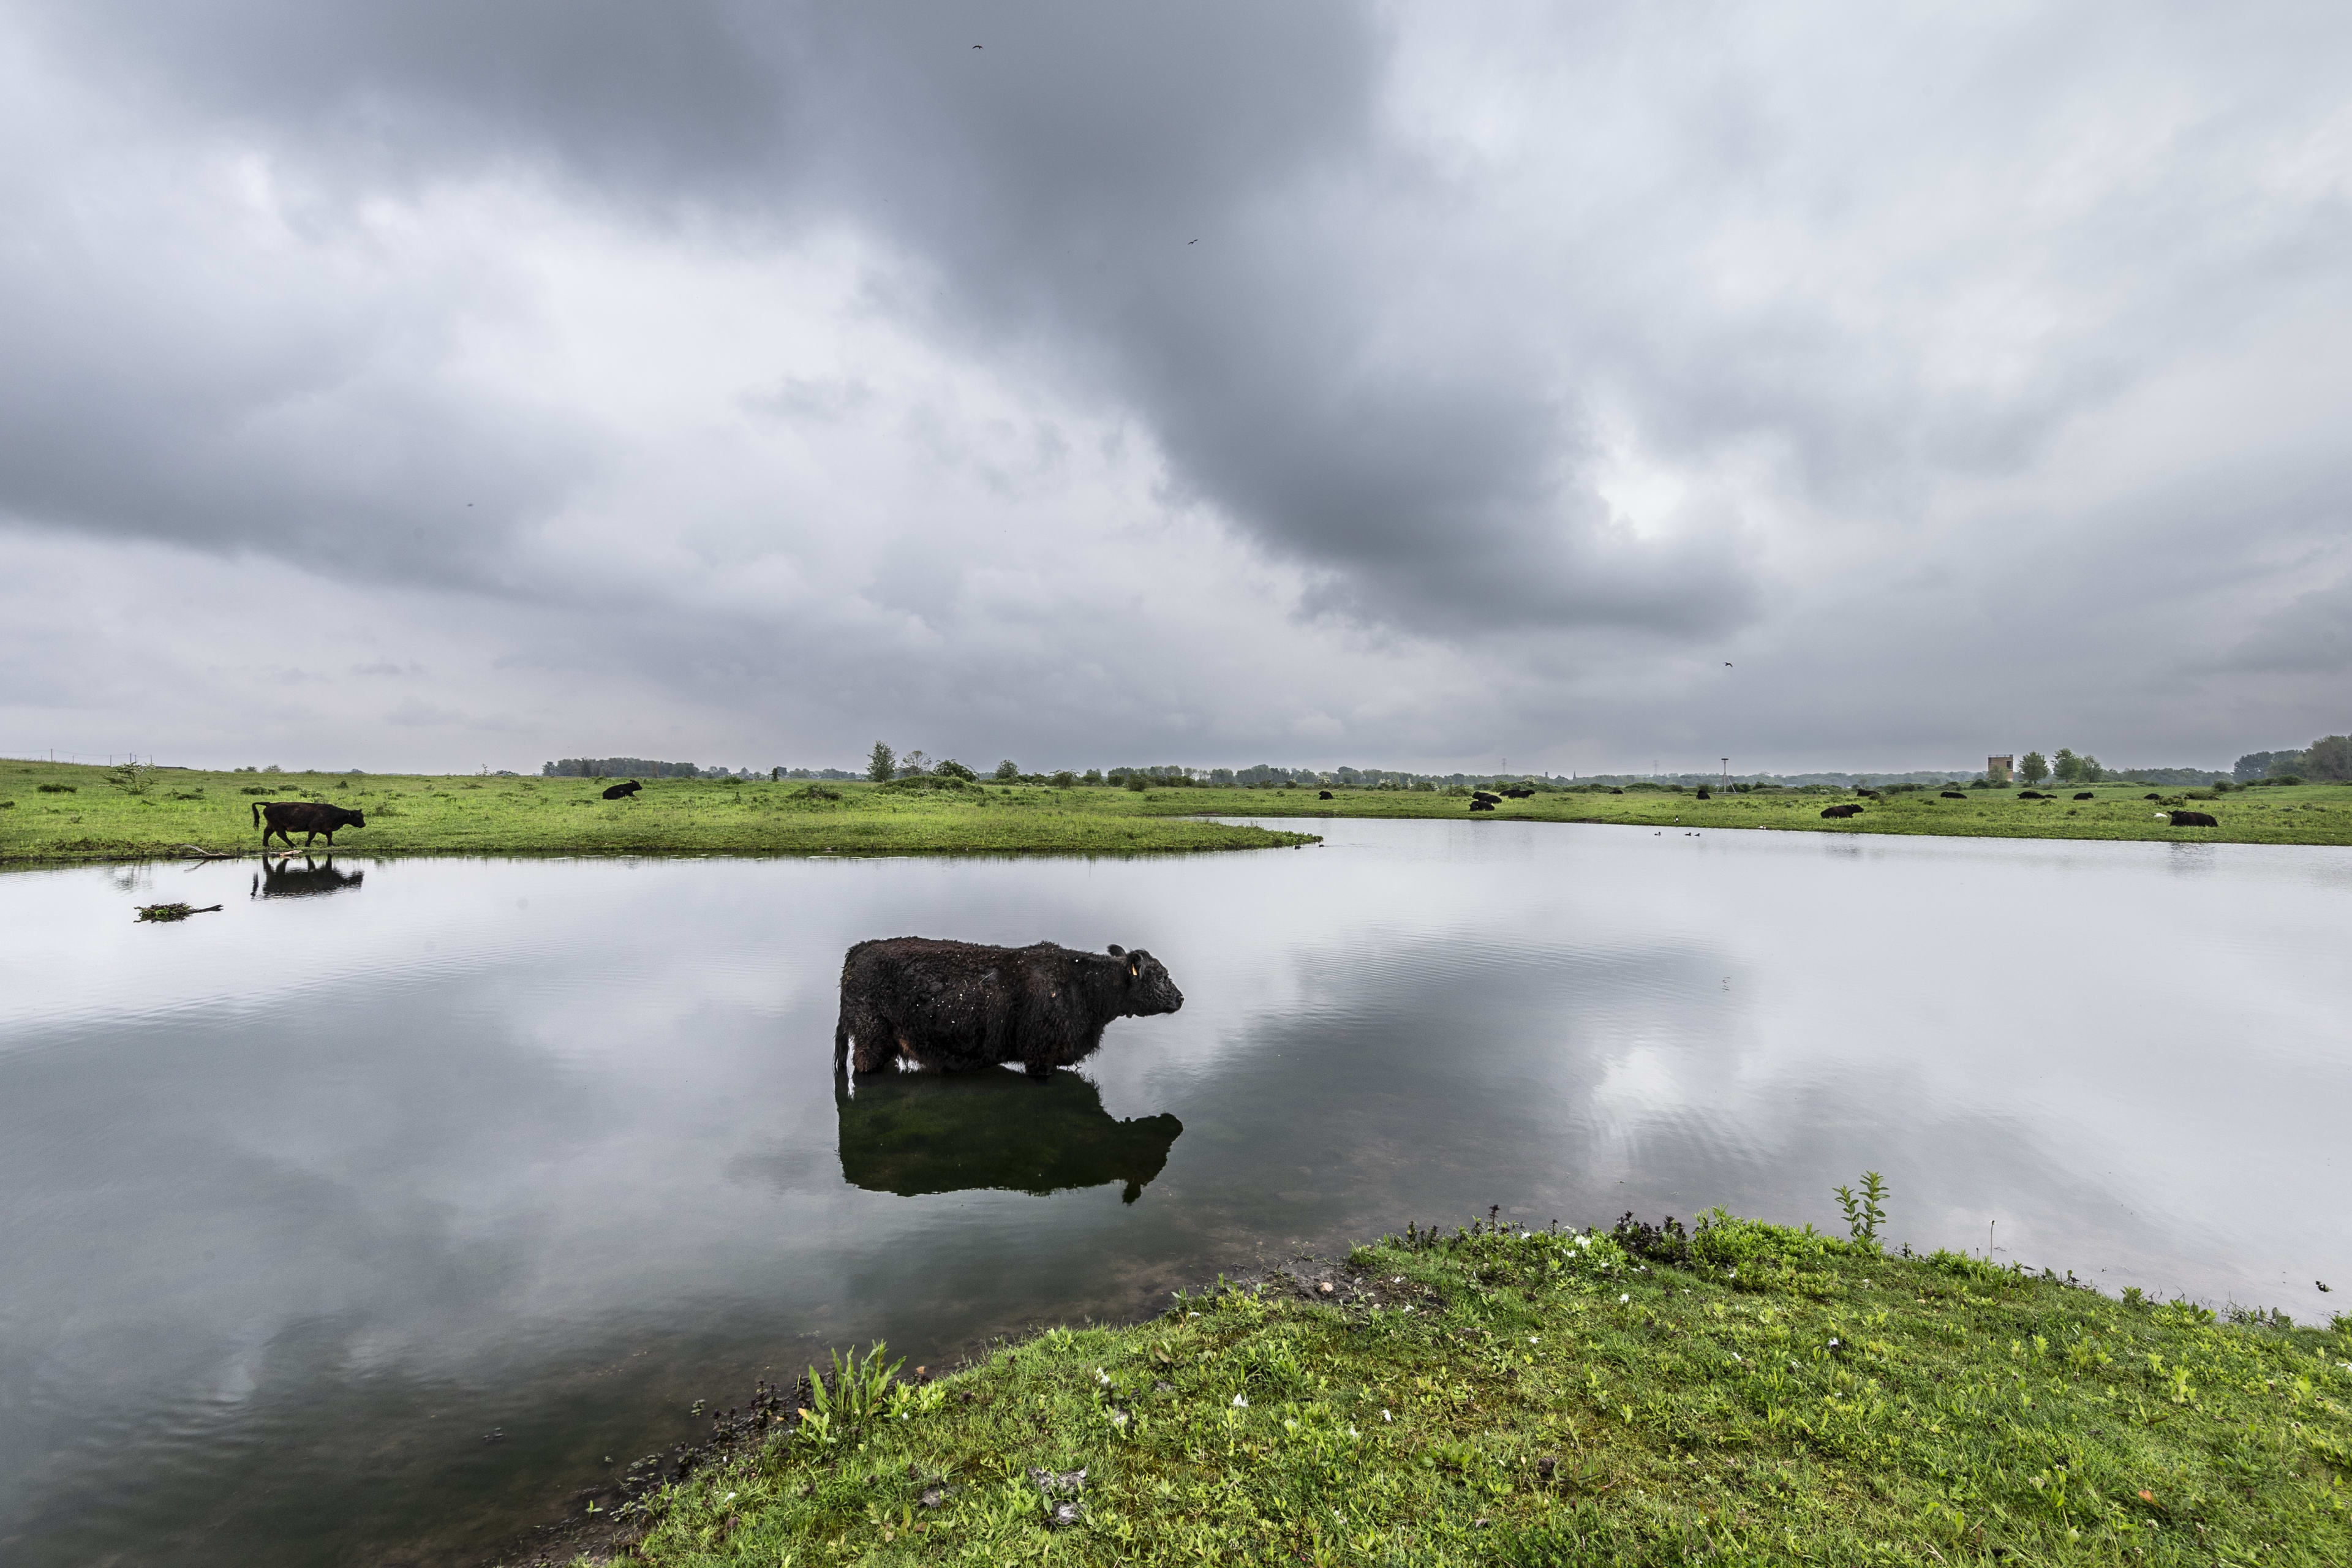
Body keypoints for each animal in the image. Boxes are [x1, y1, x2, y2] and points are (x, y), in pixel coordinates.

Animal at [251, 804, 364, 851]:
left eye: (362, 816)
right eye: (358, 817)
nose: (364, 825)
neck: (332, 813)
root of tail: (269, 804)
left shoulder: (327, 828)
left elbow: (330, 836)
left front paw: (332, 844)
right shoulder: (313, 828)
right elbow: (311, 837)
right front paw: (307, 845)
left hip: (271, 825)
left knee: (267, 833)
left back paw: (266, 845)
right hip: (278, 826)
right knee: (281, 835)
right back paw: (293, 845)